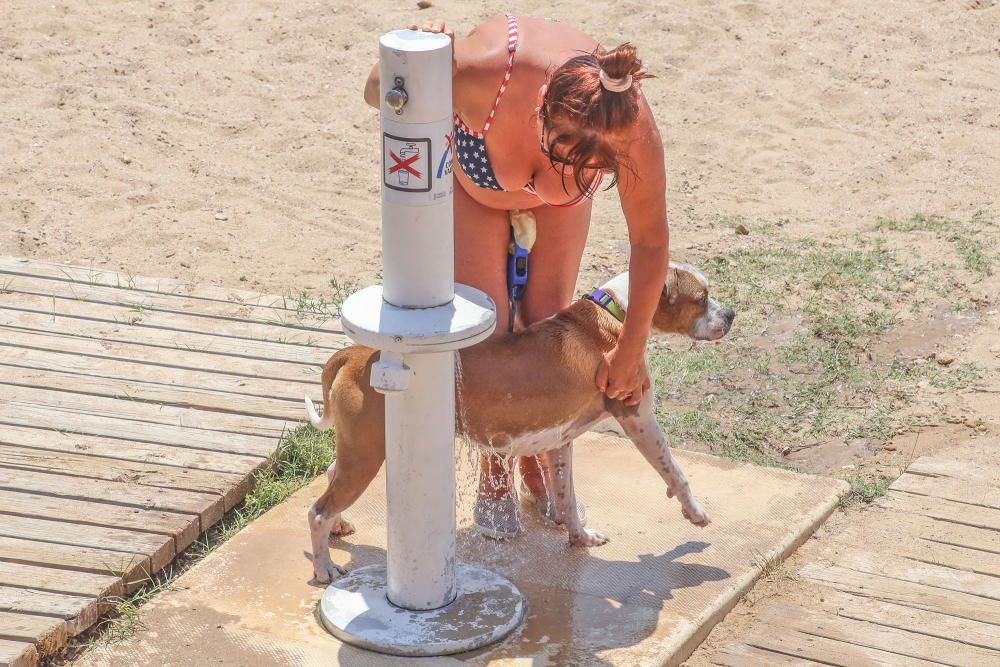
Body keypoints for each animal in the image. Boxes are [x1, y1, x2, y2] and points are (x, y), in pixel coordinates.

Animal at [304, 260, 736, 584]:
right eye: (702, 298)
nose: (732, 314)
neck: (616, 314)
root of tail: (354, 352)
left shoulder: (561, 440)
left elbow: (566, 495)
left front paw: (579, 537)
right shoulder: (637, 415)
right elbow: (673, 469)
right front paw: (695, 513)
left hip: (361, 448)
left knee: (330, 473)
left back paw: (340, 527)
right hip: (368, 455)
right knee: (317, 511)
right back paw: (325, 568)